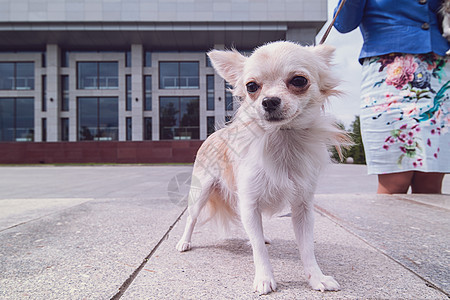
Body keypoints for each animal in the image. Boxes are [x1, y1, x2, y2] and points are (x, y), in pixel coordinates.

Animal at [176, 41, 348, 296]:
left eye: (299, 81)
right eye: (251, 87)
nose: (269, 101)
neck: (283, 139)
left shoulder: (303, 207)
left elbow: (307, 247)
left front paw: (316, 278)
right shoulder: (250, 201)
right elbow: (259, 249)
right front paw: (265, 278)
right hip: (201, 192)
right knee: (192, 218)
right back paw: (184, 241)